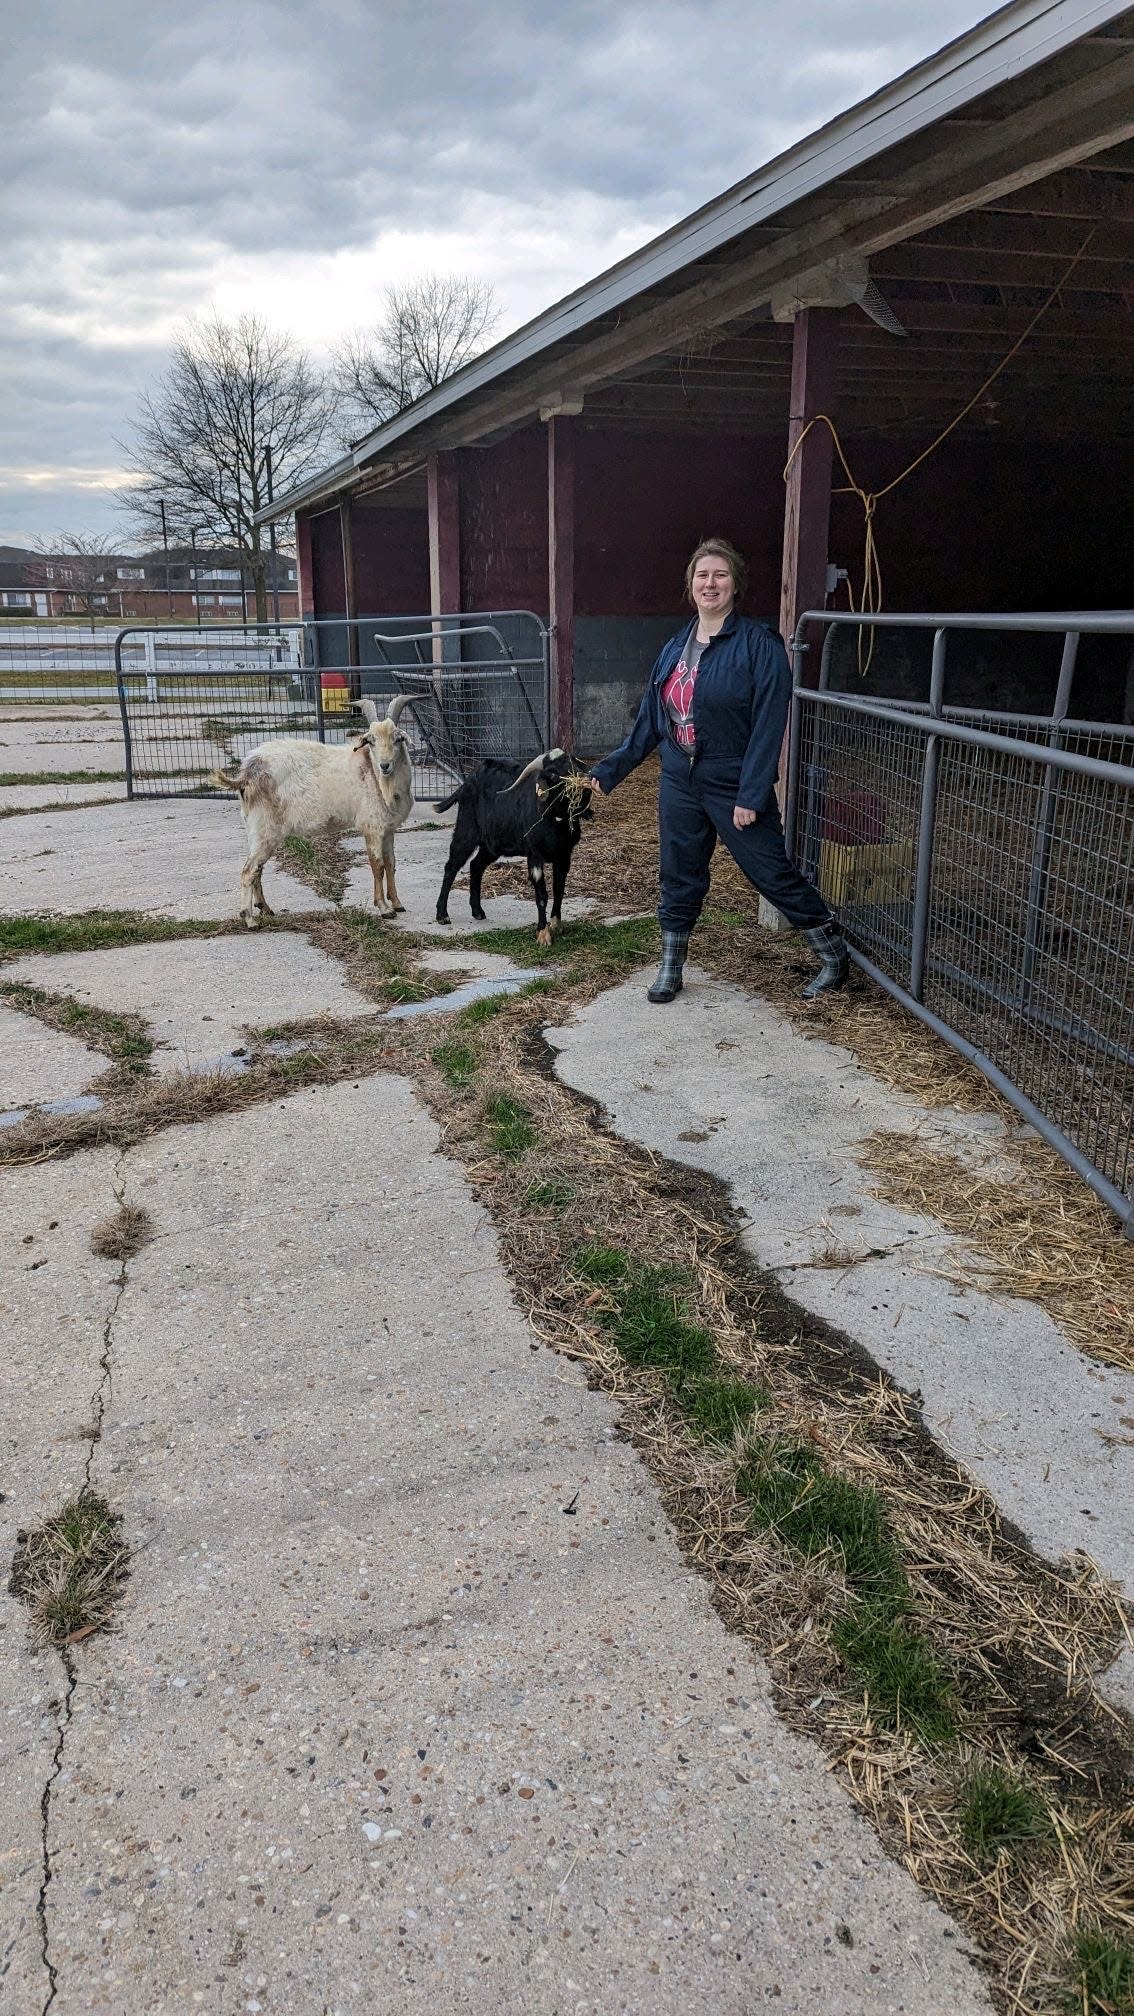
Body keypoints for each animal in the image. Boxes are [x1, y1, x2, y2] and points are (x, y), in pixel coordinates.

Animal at [210, 685, 415, 923]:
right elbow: (377, 865)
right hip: (265, 828)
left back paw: (266, 909)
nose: (385, 765)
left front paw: (398, 903)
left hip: (256, 830)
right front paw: (384, 908)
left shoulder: (388, 829)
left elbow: (391, 863)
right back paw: (249, 919)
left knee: (257, 868)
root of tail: (248, 773)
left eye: (398, 739)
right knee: (249, 870)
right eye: (370, 741)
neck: (372, 773)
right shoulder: (372, 827)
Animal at [431, 749, 593, 943]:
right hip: (465, 831)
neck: (554, 819)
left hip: (492, 845)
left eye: (573, 762)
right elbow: (541, 895)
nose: (582, 780)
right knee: (451, 867)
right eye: (553, 773)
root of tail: (466, 784)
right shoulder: (534, 855)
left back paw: (477, 911)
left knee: (476, 865)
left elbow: (559, 890)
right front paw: (543, 934)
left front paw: (557, 925)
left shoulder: (564, 855)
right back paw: (442, 915)